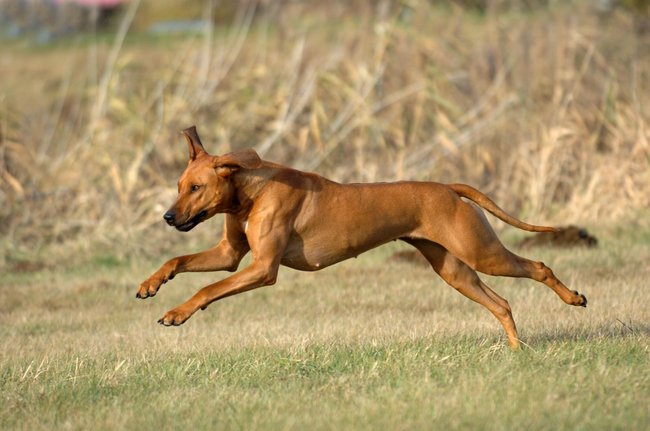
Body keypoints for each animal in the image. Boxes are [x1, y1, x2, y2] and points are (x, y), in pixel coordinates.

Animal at [134, 126, 584, 350]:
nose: (168, 217)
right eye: (179, 186)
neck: (250, 191)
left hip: (481, 252)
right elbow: (179, 261)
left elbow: (209, 287)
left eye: (197, 188)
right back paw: (515, 349)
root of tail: (447, 187)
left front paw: (178, 313)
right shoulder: (230, 253)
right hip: (455, 270)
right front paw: (151, 283)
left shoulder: (262, 268)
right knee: (501, 303)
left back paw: (573, 298)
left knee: (538, 266)